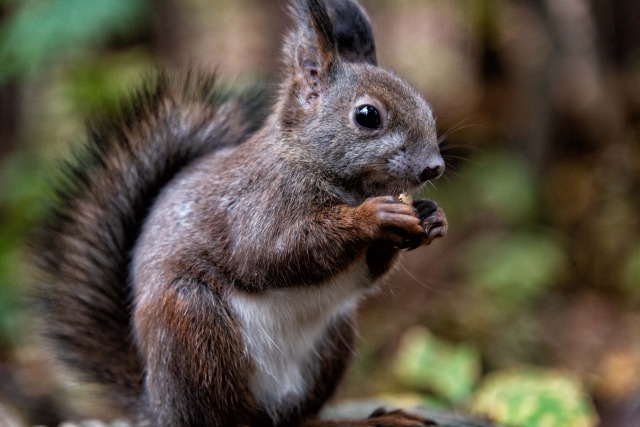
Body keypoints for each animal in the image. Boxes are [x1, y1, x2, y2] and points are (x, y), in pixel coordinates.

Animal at [32, 0, 448, 427]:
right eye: (367, 115)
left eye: (422, 103)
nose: (434, 167)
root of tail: (157, 402)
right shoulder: (256, 205)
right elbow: (275, 252)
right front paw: (373, 216)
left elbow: (366, 272)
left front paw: (431, 217)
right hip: (194, 326)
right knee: (223, 415)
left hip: (333, 338)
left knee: (297, 418)